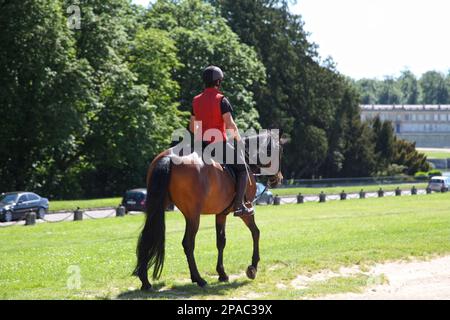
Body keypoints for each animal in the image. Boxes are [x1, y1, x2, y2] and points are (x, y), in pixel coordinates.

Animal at [132, 129, 284, 290]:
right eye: (280, 151)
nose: (278, 178)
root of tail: (170, 157)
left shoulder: (221, 214)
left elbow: (221, 241)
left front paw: (222, 273)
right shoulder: (247, 211)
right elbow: (256, 232)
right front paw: (253, 267)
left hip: (159, 208)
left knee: (148, 236)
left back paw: (145, 280)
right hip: (193, 216)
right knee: (188, 243)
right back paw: (198, 279)